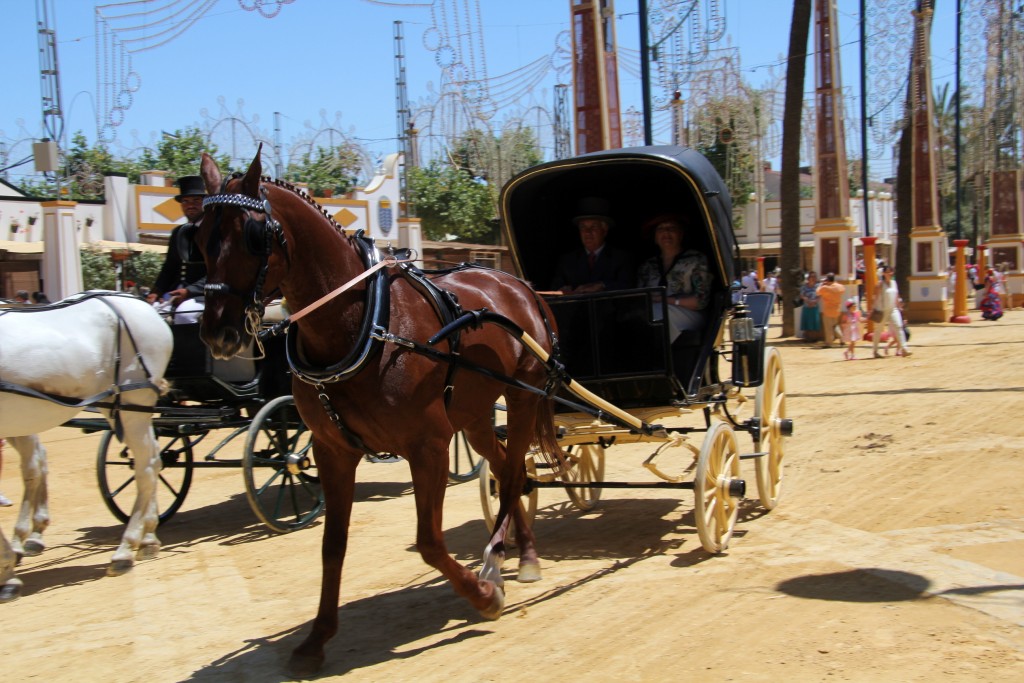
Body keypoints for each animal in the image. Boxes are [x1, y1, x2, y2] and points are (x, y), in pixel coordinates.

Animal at [0, 290, 172, 602]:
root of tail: (140, 303)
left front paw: (6, 573)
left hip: (133, 403)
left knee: (145, 466)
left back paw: (126, 549)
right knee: (153, 461)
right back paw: (148, 537)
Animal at [192, 150, 561, 679]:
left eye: (253, 236)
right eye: (199, 235)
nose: (218, 333)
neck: (364, 325)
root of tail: (515, 283)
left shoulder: (428, 447)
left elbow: (429, 541)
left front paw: (483, 595)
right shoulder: (333, 451)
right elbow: (332, 546)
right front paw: (316, 638)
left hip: (523, 397)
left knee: (512, 475)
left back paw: (499, 564)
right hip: (473, 415)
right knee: (507, 466)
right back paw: (517, 552)